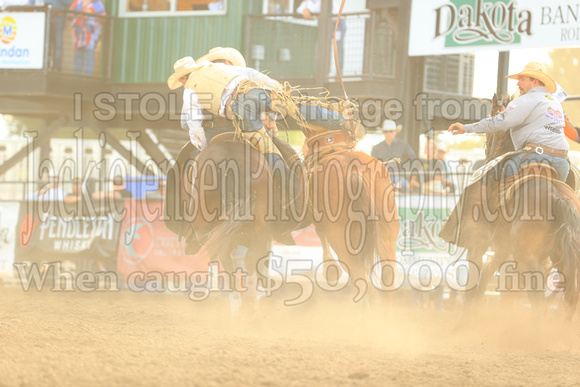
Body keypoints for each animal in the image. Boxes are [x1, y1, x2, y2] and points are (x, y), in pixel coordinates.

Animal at [440, 94, 580, 322]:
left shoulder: (480, 245)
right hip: (560, 258)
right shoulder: (503, 249)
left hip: (529, 259)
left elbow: (476, 282)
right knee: (569, 299)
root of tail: (558, 196)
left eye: (491, 114)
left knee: (537, 299)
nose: (487, 149)